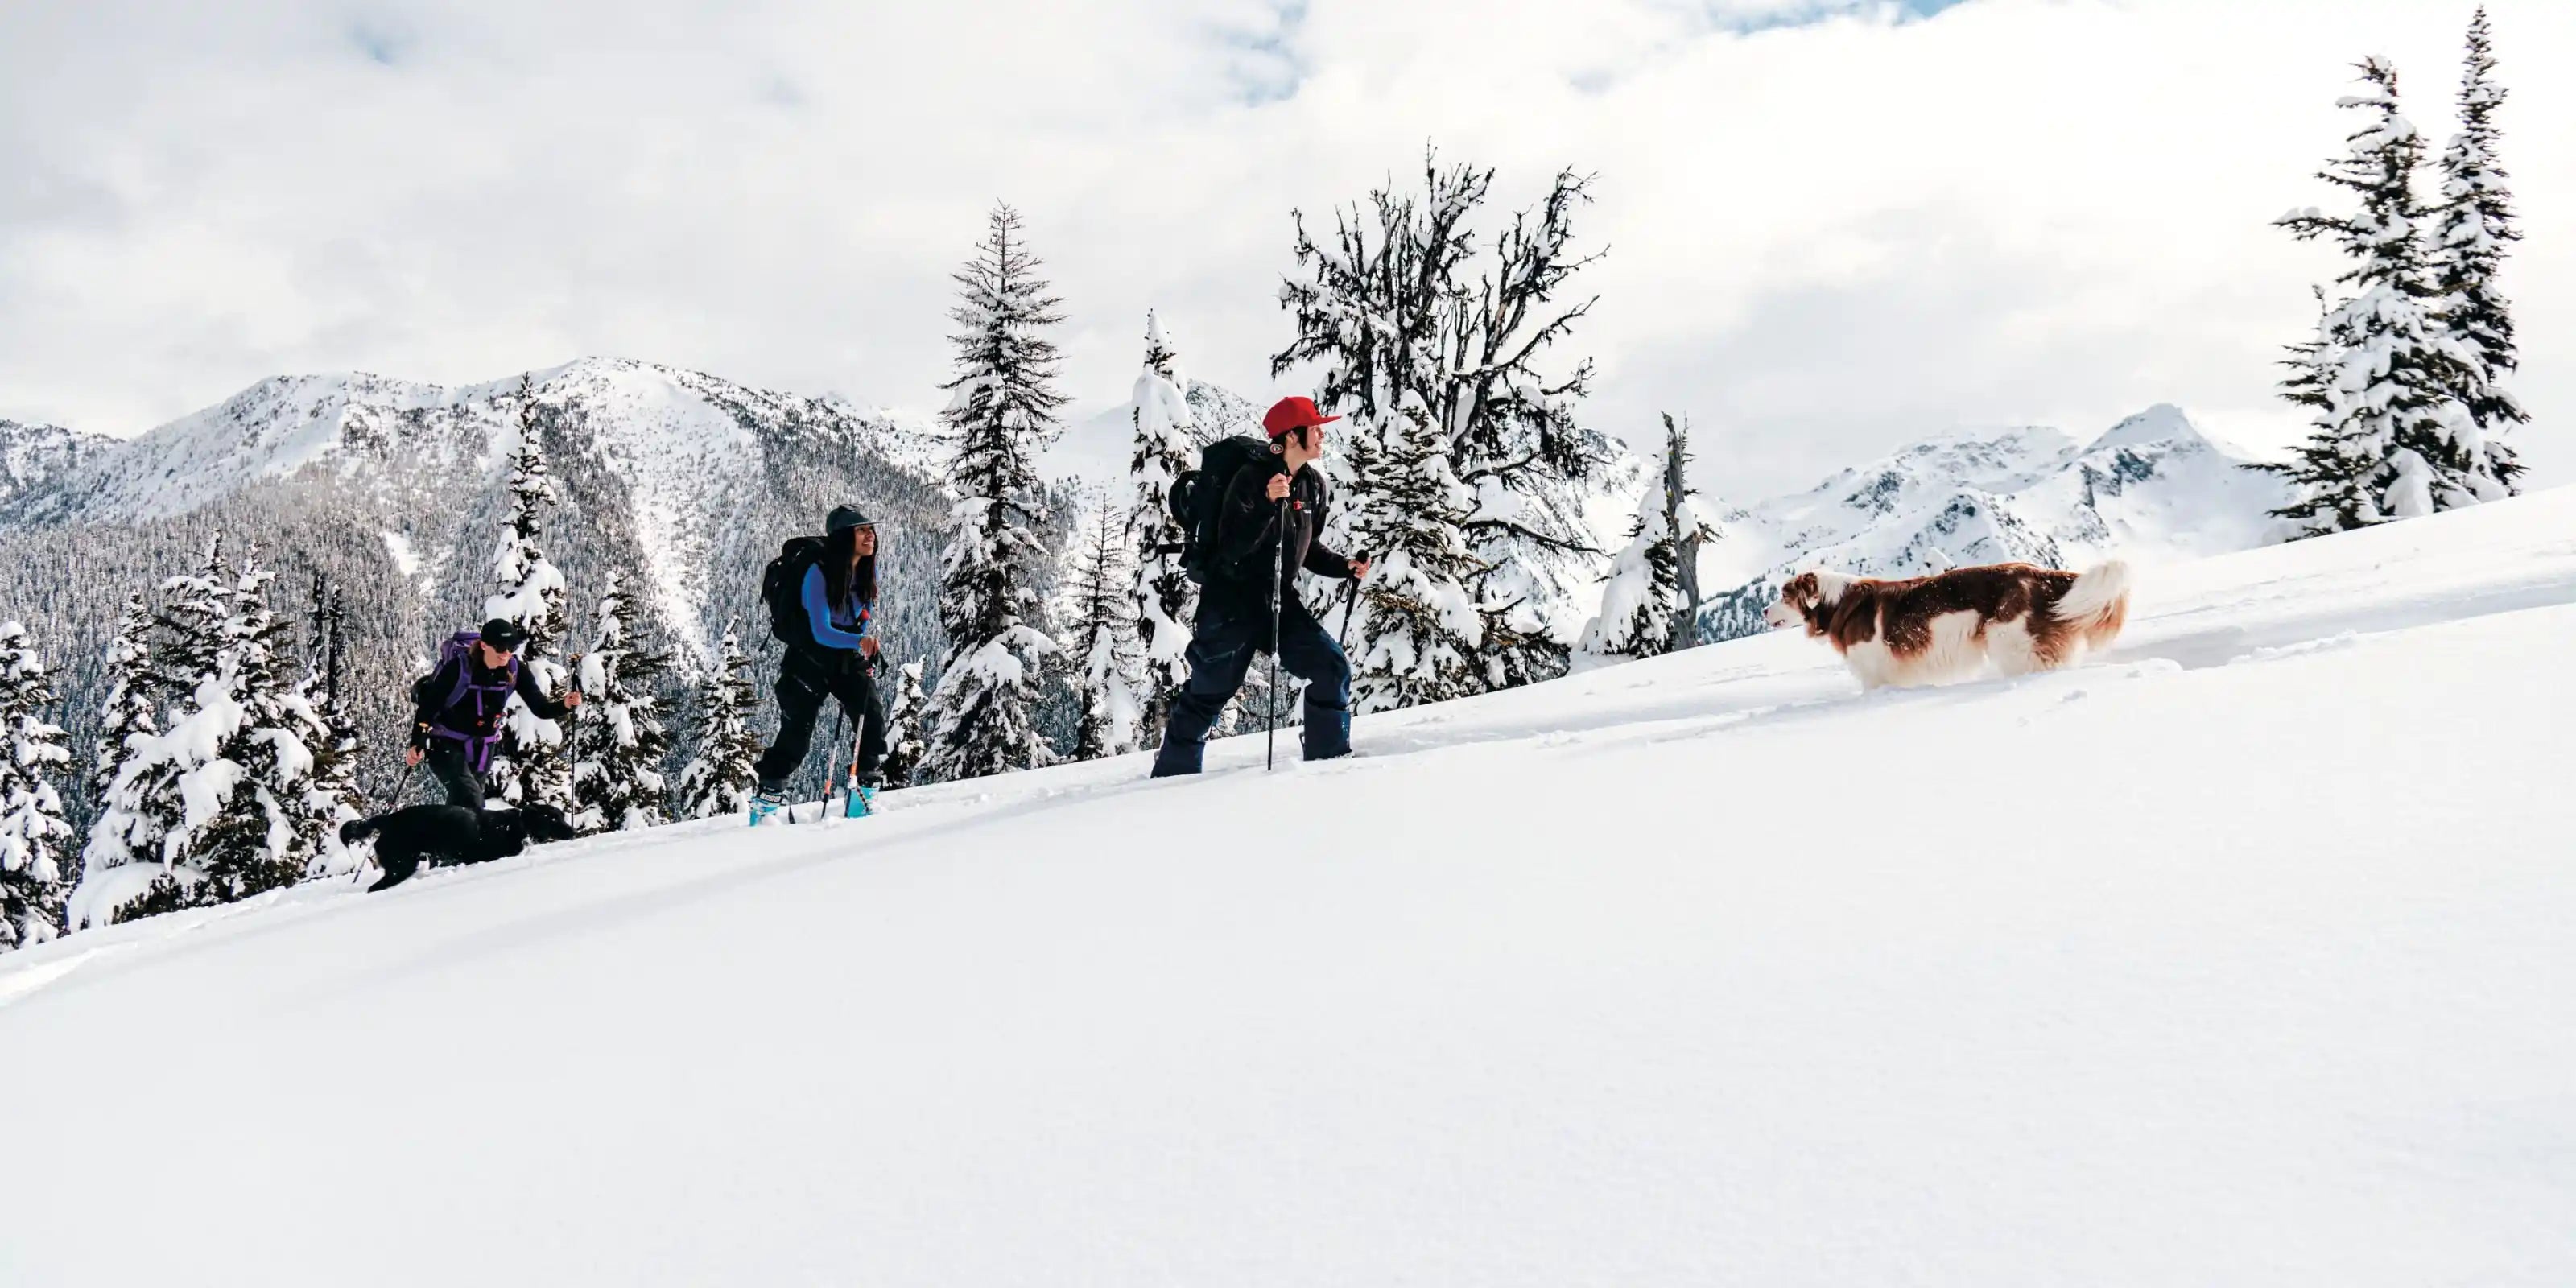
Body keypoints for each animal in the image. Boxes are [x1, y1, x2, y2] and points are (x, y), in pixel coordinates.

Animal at [340, 799, 576, 891]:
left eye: (562, 816)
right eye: (553, 819)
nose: (573, 831)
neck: (518, 824)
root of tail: (386, 819)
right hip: (402, 865)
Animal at [1752, 559, 2132, 690]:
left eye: (1784, 594)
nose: (1763, 612)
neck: (1836, 602)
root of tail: (2040, 575)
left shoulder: (1875, 672)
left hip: (2011, 643)